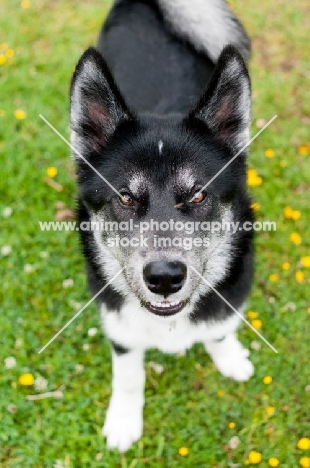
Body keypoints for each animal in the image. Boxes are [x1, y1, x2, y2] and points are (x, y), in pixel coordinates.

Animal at [70, 0, 254, 454]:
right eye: (125, 198)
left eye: (198, 195)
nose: (165, 278)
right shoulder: (117, 324)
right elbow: (128, 374)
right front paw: (123, 420)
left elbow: (219, 330)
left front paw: (229, 357)